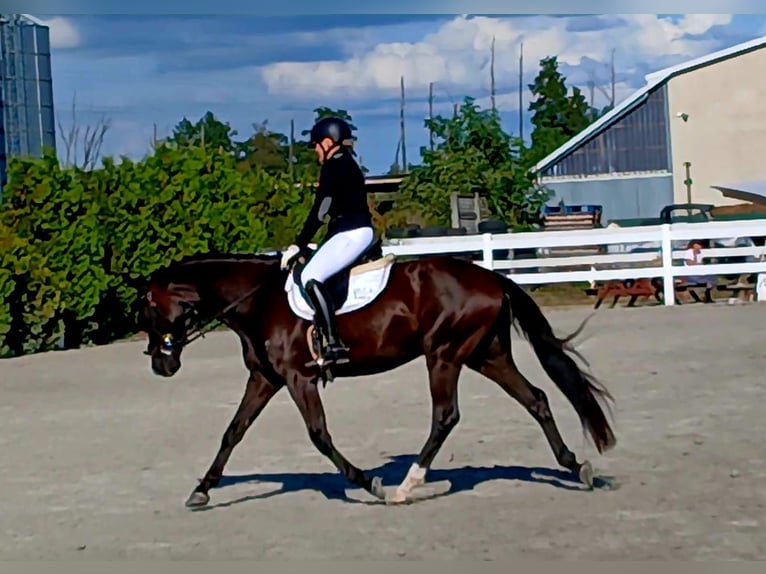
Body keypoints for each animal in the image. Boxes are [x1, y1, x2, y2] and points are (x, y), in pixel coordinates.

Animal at [136, 243, 616, 507]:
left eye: (150, 309)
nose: (161, 365)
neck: (258, 301)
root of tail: (493, 278)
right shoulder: (265, 379)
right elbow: (233, 432)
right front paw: (202, 490)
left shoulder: (297, 378)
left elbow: (319, 435)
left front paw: (370, 484)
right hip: (486, 355)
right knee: (536, 398)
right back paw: (576, 466)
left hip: (444, 355)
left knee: (446, 416)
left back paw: (407, 486)